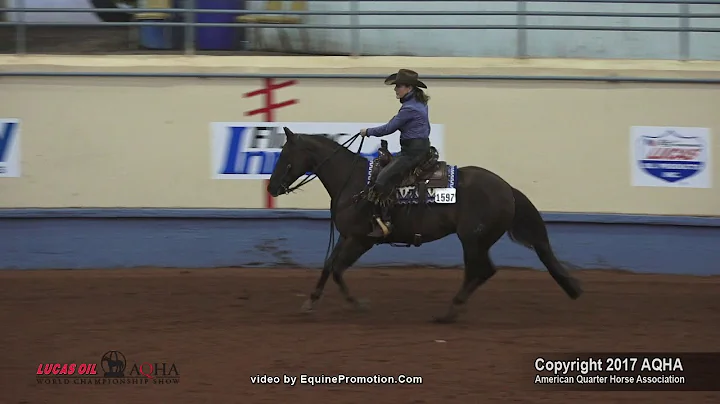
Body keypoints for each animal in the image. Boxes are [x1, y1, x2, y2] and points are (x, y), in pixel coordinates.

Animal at [268, 128, 584, 324]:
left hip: (472, 240)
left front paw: (357, 304)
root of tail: (507, 188)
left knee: (480, 271)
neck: (352, 181)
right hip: (477, 241)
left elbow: (336, 268)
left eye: (285, 156)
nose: (271, 188)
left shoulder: (361, 239)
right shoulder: (349, 237)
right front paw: (312, 302)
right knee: (482, 272)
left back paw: (448, 313)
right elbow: (329, 266)